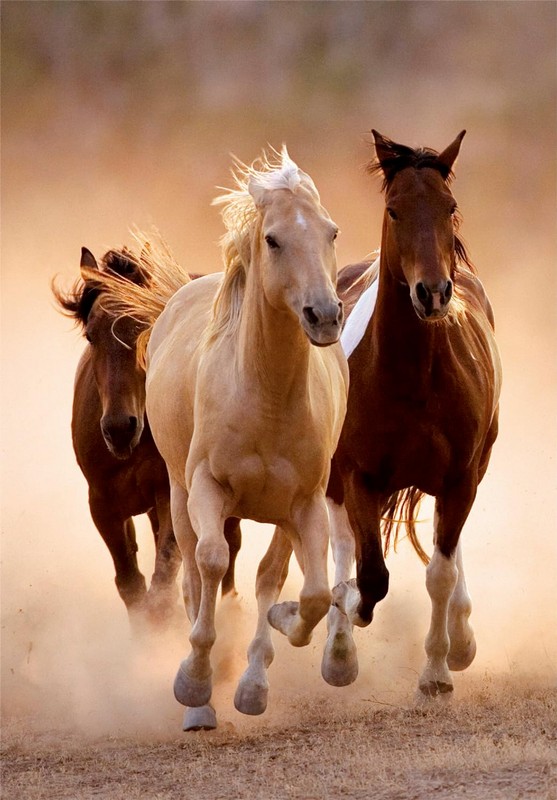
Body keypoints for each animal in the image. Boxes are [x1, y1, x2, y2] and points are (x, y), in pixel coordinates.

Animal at [52, 243, 242, 630]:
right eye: (91, 335)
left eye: (146, 328)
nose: (119, 428)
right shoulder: (103, 504)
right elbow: (131, 584)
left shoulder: (170, 494)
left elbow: (164, 578)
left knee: (229, 545)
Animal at [92, 148, 349, 730]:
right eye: (273, 239)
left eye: (332, 232)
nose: (324, 316)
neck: (265, 396)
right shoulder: (206, 489)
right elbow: (209, 564)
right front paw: (194, 683)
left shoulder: (304, 504)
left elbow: (308, 592)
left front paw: (275, 639)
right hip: (178, 496)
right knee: (192, 572)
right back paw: (201, 702)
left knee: (267, 575)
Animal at [330, 130, 502, 700]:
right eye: (394, 209)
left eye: (448, 206)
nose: (432, 293)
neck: (412, 379)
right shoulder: (358, 476)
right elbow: (370, 576)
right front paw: (345, 616)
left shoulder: (459, 479)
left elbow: (440, 574)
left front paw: (438, 670)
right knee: (342, 544)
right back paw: (336, 646)